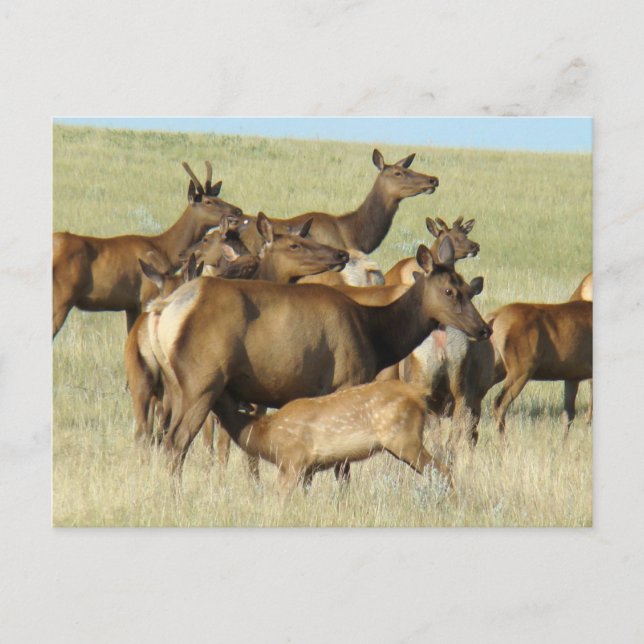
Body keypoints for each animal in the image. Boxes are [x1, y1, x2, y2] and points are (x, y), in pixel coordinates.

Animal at [52, 161, 243, 337]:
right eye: (208, 201)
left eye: (219, 197)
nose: (238, 211)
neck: (165, 250)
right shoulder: (148, 295)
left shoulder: (131, 305)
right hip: (62, 296)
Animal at [147, 235, 491, 476]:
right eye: (449, 291)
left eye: (468, 288)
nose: (483, 328)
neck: (376, 336)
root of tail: (165, 309)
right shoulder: (346, 379)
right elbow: (343, 464)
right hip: (202, 381)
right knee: (177, 441)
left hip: (176, 385)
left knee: (165, 437)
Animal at [213, 381, 453, 500]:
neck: (266, 436)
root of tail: (418, 395)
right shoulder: (308, 469)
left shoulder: (293, 459)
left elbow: (280, 496)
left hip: (405, 438)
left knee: (443, 470)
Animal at [487, 297, 592, 436]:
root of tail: (494, 317)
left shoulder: (572, 376)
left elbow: (568, 415)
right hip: (522, 367)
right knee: (499, 402)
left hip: (498, 367)